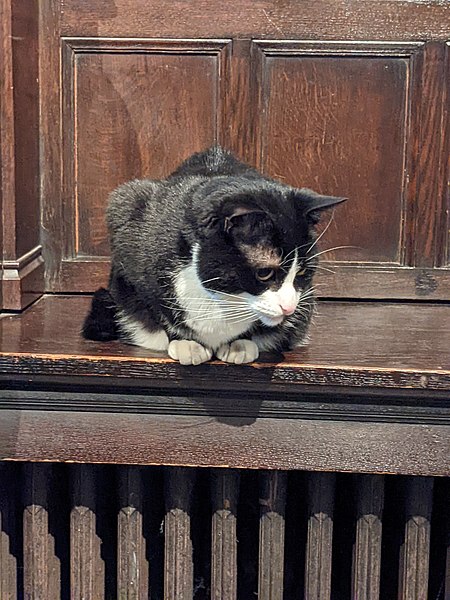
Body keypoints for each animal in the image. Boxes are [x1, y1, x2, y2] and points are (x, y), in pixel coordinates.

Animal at [82, 149, 346, 366]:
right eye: (264, 272)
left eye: (302, 271)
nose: (289, 308)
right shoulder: (132, 229)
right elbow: (158, 307)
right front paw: (187, 343)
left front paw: (240, 344)